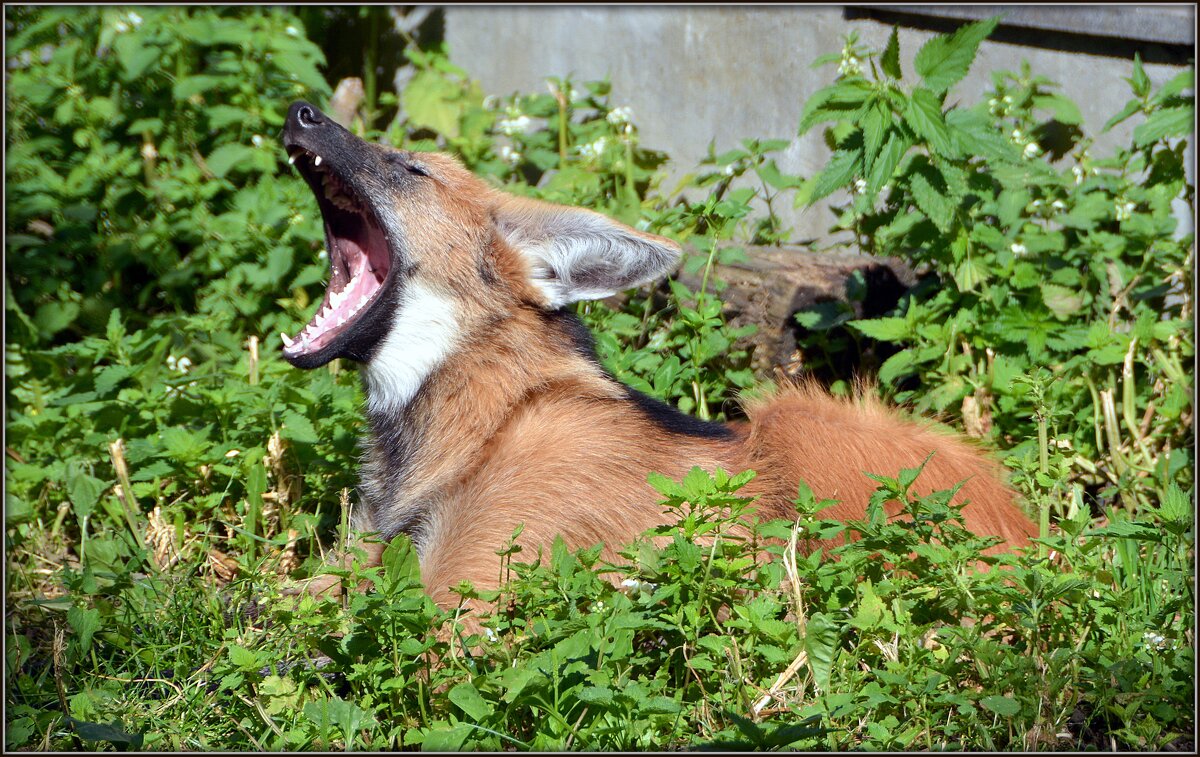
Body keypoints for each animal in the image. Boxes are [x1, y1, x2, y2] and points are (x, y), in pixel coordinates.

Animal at [276, 100, 1036, 609]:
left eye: (409, 168)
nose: (301, 111)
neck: (473, 425)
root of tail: (1035, 536)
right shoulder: (363, 553)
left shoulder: (463, 606)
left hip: (791, 417)